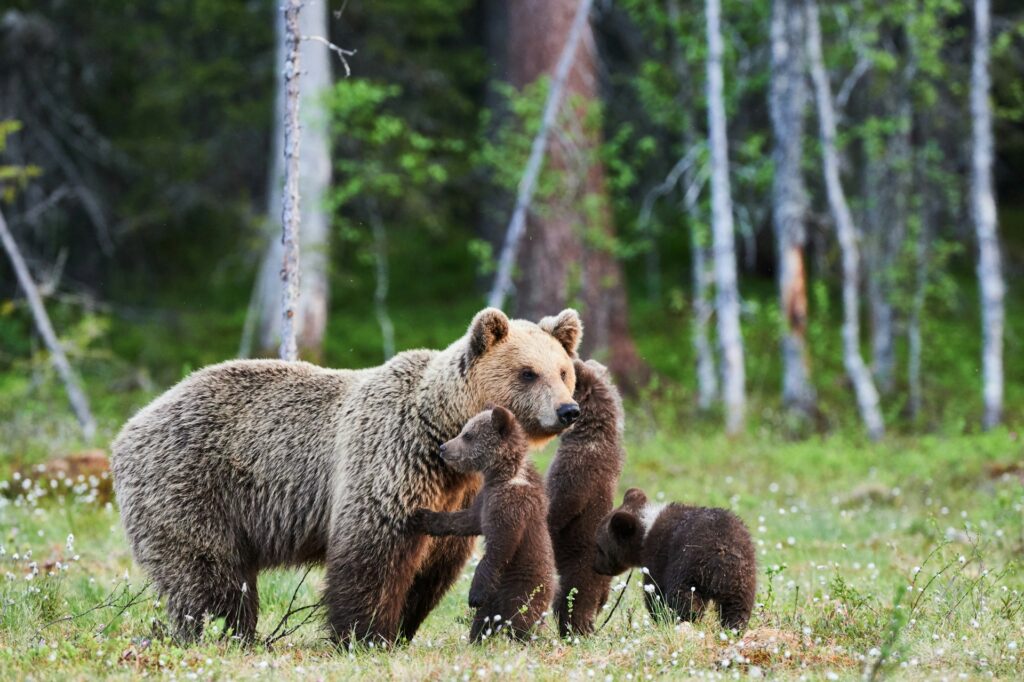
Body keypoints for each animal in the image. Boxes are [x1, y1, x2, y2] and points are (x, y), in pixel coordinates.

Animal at [410, 406, 554, 642]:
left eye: (468, 435)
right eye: (463, 431)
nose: (443, 447)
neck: (502, 474)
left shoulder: (511, 506)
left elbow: (499, 546)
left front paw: (475, 594)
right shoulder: (485, 499)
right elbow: (467, 520)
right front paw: (422, 515)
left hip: (521, 587)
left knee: (520, 618)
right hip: (497, 600)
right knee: (484, 620)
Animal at [593, 488, 757, 631]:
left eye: (599, 547)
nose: (595, 567)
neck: (645, 535)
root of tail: (721, 553)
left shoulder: (658, 559)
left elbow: (654, 592)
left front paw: (659, 617)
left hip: (689, 568)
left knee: (685, 600)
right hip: (742, 576)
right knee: (737, 606)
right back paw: (733, 628)